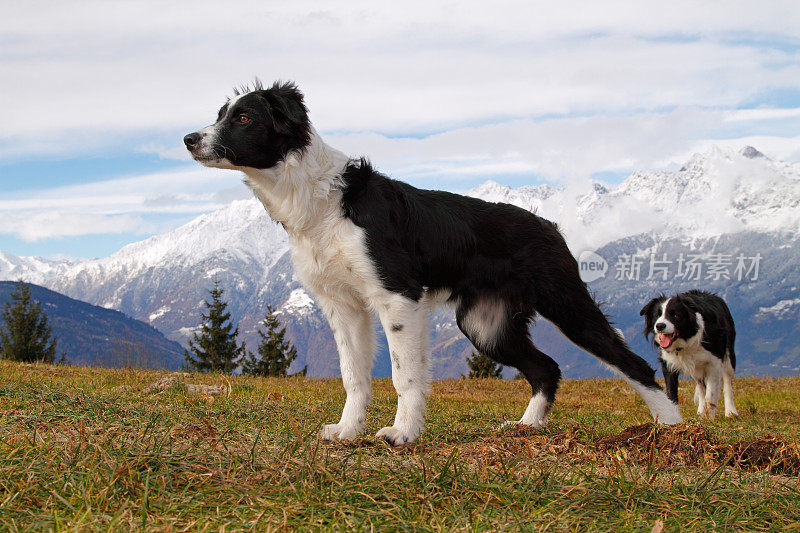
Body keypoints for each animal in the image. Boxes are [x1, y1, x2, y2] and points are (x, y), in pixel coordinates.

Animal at [183, 80, 680, 444]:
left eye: (243, 117)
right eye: (220, 113)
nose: (188, 139)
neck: (323, 203)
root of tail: (549, 224)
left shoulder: (396, 296)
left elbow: (405, 377)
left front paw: (402, 434)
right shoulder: (342, 306)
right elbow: (353, 376)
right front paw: (347, 431)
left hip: (567, 304)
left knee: (633, 364)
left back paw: (674, 430)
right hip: (485, 326)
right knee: (547, 368)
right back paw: (527, 426)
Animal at [640, 288, 740, 418]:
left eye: (676, 315)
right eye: (657, 315)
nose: (660, 326)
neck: (685, 342)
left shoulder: (713, 363)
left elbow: (710, 395)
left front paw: (710, 419)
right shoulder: (668, 363)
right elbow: (672, 394)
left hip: (728, 352)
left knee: (727, 380)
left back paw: (730, 412)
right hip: (696, 368)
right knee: (701, 386)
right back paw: (701, 412)